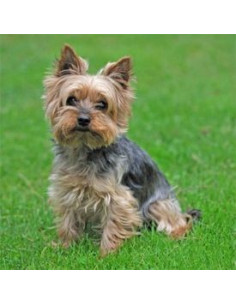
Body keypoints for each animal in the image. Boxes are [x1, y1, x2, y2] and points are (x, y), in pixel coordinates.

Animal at [43, 44, 200, 255]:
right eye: (71, 100)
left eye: (102, 104)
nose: (83, 119)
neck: (86, 148)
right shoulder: (66, 189)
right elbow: (68, 220)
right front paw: (65, 246)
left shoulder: (118, 197)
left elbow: (114, 223)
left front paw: (106, 253)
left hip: (158, 204)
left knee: (180, 221)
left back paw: (176, 235)